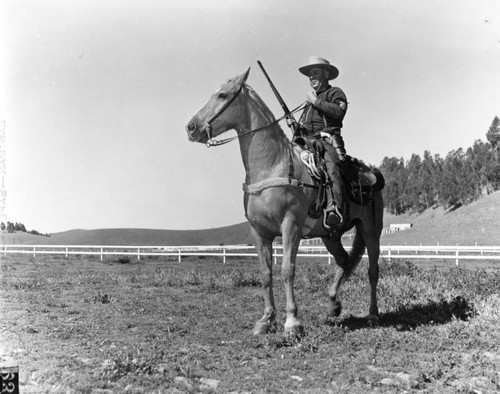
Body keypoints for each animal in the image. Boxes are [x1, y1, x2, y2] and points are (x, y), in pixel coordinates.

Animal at [186, 67, 384, 336]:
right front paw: (266, 319)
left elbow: (287, 270)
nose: (191, 127)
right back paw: (333, 305)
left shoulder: (290, 227)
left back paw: (373, 314)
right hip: (330, 235)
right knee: (344, 261)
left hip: (371, 230)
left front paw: (292, 323)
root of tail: (369, 173)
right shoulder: (258, 231)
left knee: (373, 270)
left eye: (223, 95)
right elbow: (266, 273)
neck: (273, 165)